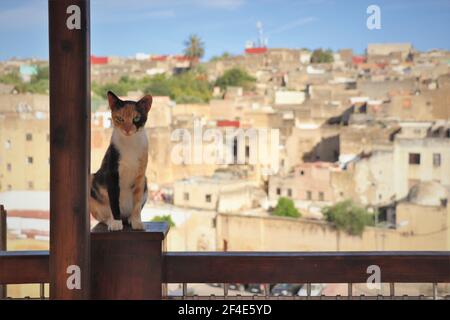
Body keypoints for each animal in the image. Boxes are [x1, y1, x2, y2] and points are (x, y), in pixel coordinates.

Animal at [89, 91, 153, 231]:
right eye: (119, 118)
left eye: (136, 118)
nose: (127, 129)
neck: (130, 143)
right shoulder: (112, 173)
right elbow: (113, 201)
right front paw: (116, 224)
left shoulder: (140, 176)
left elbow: (137, 203)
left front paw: (136, 222)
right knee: (103, 217)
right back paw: (111, 221)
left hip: (146, 181)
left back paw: (129, 219)